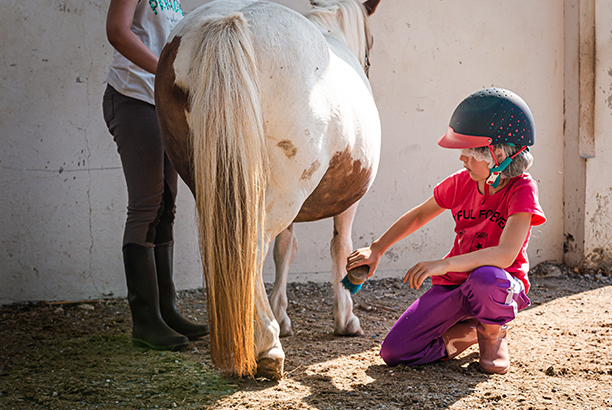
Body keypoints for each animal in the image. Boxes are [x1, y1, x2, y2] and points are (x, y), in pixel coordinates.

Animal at [155, 0, 380, 380]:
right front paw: (345, 318)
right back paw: (267, 346)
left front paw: (283, 316)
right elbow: (340, 248)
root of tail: (229, 22)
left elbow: (284, 249)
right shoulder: (347, 200)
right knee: (252, 248)